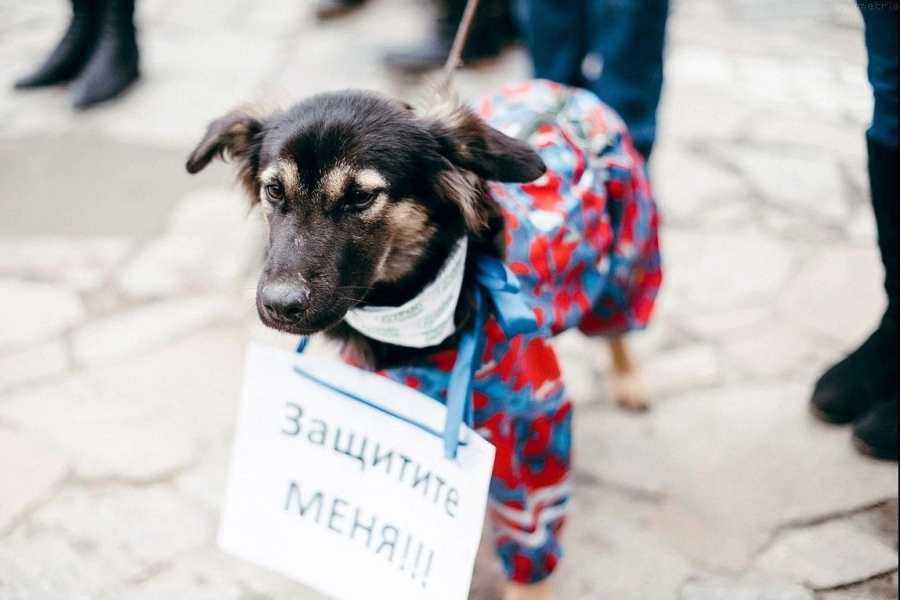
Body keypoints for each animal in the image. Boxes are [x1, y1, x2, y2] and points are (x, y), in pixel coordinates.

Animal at [186, 79, 660, 600]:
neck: (411, 315)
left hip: (627, 257)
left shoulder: (533, 423)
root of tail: (565, 88)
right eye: (274, 190)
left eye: (360, 197)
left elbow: (528, 531)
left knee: (618, 324)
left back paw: (629, 378)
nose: (279, 304)